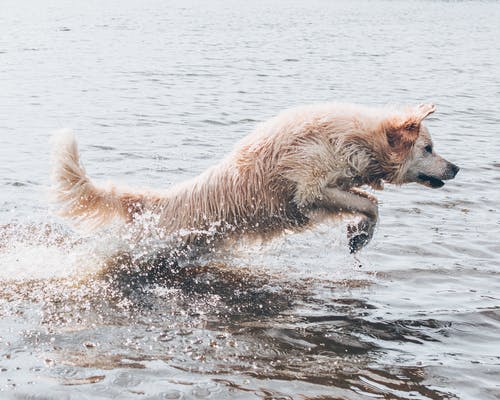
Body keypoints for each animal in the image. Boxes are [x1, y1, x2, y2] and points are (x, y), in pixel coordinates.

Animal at [51, 103, 460, 253]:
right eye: (428, 148)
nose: (456, 168)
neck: (353, 139)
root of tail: (160, 202)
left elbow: (368, 201)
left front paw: (360, 234)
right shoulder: (310, 186)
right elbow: (370, 204)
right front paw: (361, 233)